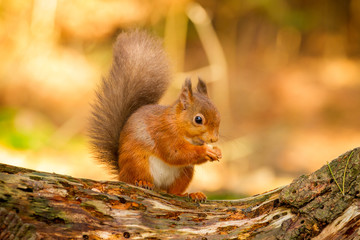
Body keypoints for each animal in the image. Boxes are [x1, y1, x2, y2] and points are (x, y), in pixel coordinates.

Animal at [88, 30, 221, 202]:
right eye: (198, 119)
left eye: (218, 114)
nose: (214, 139)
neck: (177, 124)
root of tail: (121, 171)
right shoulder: (164, 134)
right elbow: (175, 153)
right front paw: (205, 151)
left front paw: (217, 151)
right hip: (138, 162)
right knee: (134, 178)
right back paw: (142, 182)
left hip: (184, 173)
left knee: (173, 192)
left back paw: (191, 194)